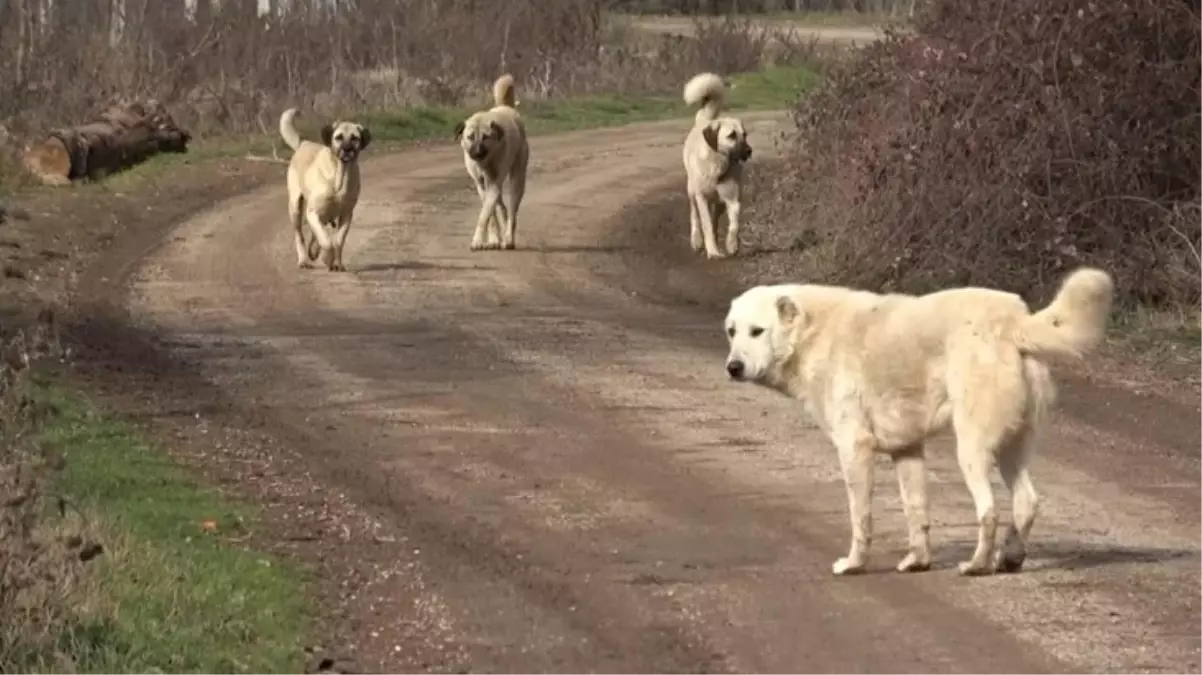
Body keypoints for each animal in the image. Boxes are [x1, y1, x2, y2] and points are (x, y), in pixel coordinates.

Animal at [451, 73, 528, 251]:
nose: (478, 152)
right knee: (501, 207)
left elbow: (484, 215)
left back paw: (508, 239)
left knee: (512, 211)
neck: (485, 162)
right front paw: (492, 239)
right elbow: (490, 215)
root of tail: (507, 108)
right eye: (470, 137)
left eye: (486, 137)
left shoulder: (493, 184)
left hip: (517, 180)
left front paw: (478, 240)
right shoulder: (482, 185)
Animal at [687, 71, 750, 257]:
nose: (749, 151)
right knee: (694, 216)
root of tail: (705, 121)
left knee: (715, 218)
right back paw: (697, 240)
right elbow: (705, 224)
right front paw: (713, 252)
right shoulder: (701, 198)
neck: (718, 165)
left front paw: (732, 244)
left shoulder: (732, 199)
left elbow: (734, 224)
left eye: (745, 135)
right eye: (731, 136)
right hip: (692, 191)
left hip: (719, 202)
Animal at [716, 266, 1110, 571]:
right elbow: (916, 512)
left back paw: (975, 565)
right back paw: (1009, 559)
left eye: (757, 331)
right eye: (732, 332)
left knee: (990, 511)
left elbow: (860, 517)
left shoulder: (854, 449)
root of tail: (1014, 320)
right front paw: (918, 562)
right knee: (1026, 503)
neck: (812, 334)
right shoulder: (907, 450)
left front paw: (854, 564)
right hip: (1011, 448)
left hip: (972, 449)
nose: (733, 368)